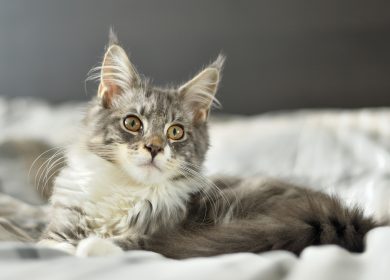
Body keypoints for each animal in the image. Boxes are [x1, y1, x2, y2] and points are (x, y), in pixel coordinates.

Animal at [38, 31, 378, 258]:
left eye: (175, 132)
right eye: (133, 123)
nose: (154, 148)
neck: (127, 189)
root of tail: (352, 216)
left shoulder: (160, 233)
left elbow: (122, 243)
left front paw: (91, 246)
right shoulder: (62, 221)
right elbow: (52, 242)